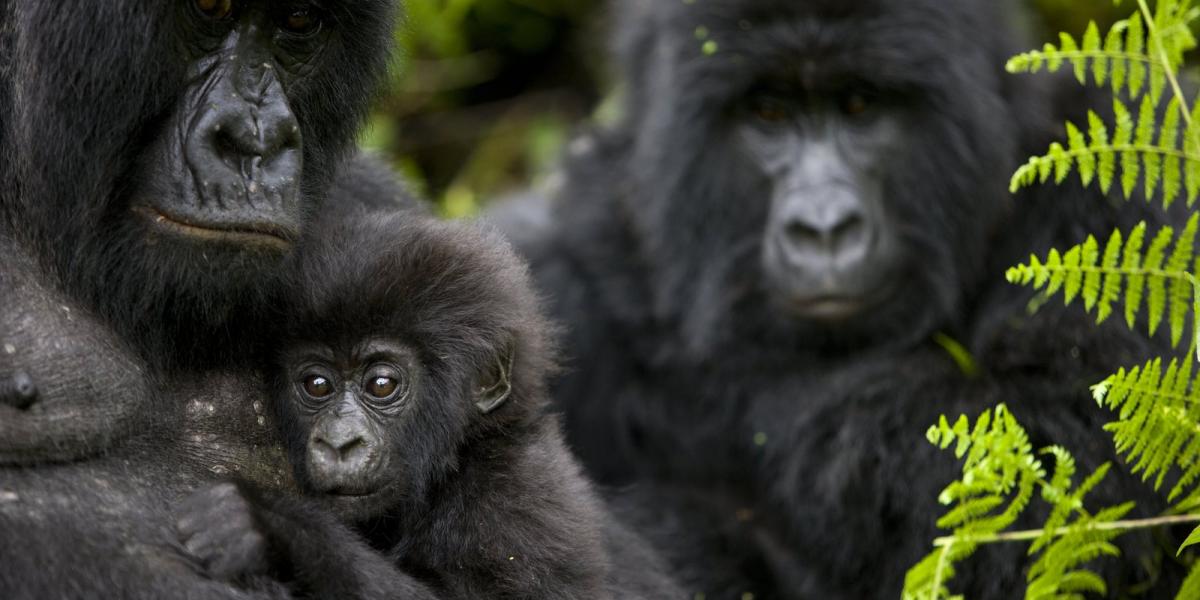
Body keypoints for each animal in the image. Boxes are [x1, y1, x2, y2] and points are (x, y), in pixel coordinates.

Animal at [492, 0, 1185, 595]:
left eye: (859, 105)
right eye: (768, 113)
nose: (823, 228)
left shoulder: (1126, 169)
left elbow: (1068, 433)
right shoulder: (557, 262)